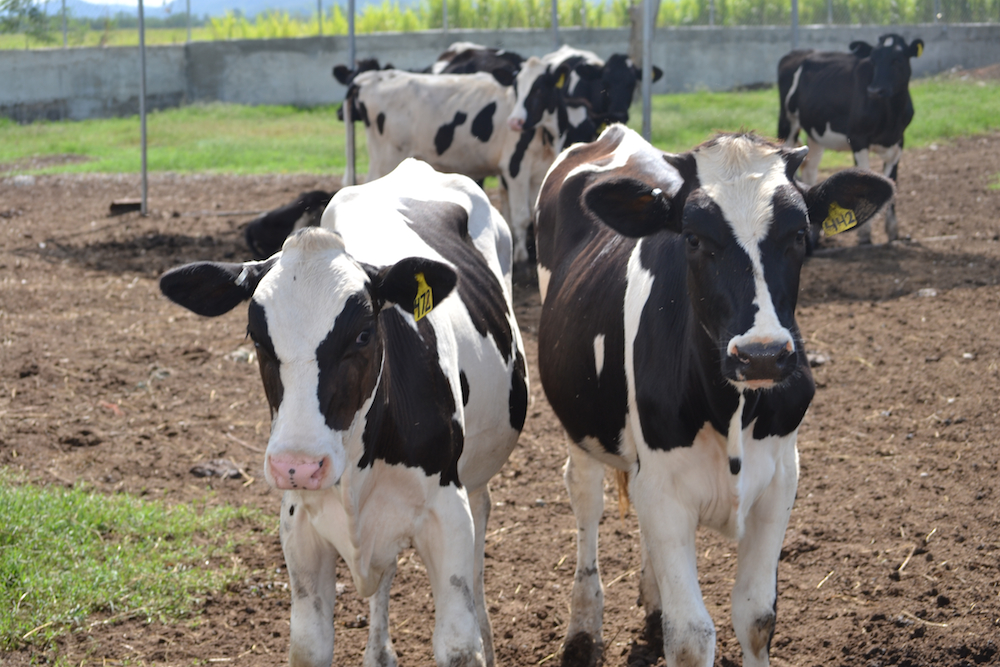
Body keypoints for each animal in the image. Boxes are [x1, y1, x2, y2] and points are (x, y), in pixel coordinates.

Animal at [159, 158, 529, 667]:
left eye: (363, 334)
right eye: (257, 337)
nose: (297, 465)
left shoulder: (446, 512)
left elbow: (458, 644)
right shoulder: (299, 524)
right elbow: (308, 644)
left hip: (474, 478)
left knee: (478, 532)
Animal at [534, 124, 894, 667]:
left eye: (799, 235)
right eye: (694, 238)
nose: (762, 354)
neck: (733, 412)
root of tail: (614, 135)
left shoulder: (780, 478)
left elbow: (757, 616)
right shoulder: (664, 489)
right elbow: (690, 636)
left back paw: (652, 600)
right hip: (578, 422)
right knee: (585, 498)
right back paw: (582, 630)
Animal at [778, 33, 924, 246]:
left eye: (897, 59)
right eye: (873, 59)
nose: (874, 90)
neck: (890, 116)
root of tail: (799, 52)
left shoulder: (899, 141)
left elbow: (892, 181)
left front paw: (893, 233)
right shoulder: (857, 139)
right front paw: (865, 235)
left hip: (815, 132)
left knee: (810, 169)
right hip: (788, 122)